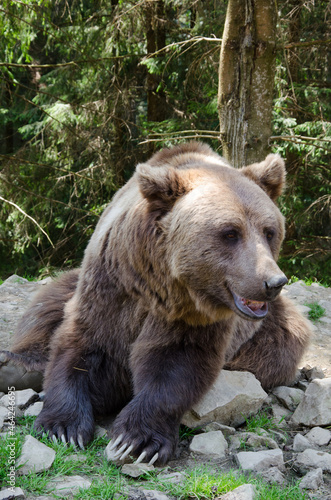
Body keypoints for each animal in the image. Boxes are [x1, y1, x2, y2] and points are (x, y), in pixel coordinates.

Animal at [0, 142, 312, 464]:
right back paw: (16, 367)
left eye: (269, 231)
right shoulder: (109, 288)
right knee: (45, 308)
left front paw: (135, 441)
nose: (273, 282)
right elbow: (81, 346)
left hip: (270, 331)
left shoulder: (189, 316)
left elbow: (175, 364)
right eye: (230, 232)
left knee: (279, 348)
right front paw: (63, 427)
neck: (160, 284)